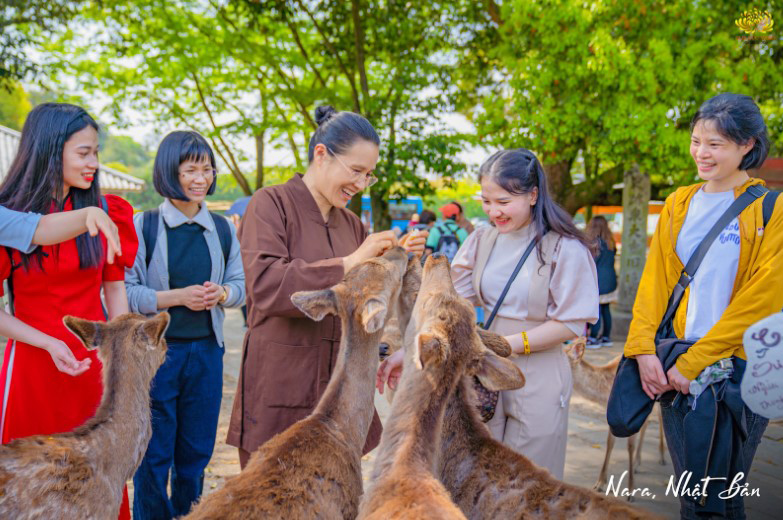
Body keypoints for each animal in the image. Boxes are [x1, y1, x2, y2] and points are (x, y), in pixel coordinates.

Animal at [564, 340, 668, 498]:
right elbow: (610, 443)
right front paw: (600, 483)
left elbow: (630, 446)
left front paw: (631, 491)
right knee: (648, 421)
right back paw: (637, 463)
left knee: (661, 418)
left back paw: (661, 457)